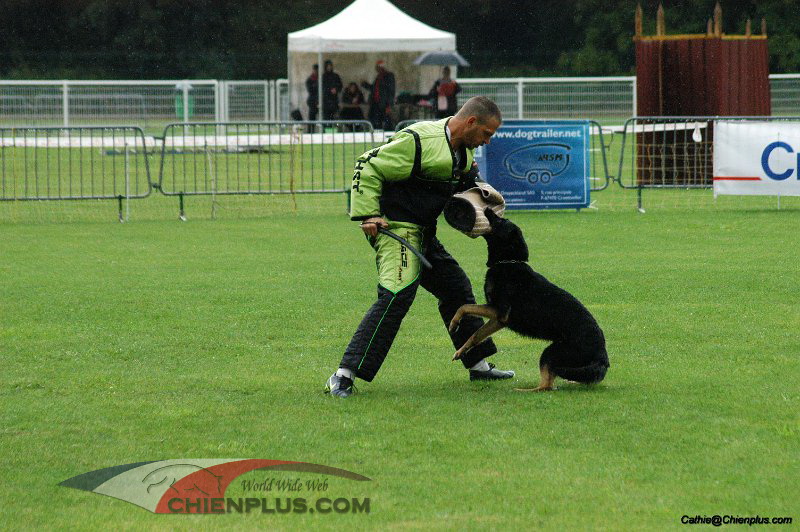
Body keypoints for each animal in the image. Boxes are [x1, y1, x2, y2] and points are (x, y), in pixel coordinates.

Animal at [446, 211, 608, 390]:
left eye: (500, 221)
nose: (488, 209)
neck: (508, 261)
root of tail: (603, 354)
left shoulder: (498, 311)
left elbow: (464, 306)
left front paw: (454, 323)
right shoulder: (498, 320)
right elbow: (475, 335)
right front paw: (461, 351)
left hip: (550, 353)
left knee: (546, 386)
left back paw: (522, 390)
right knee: (554, 381)